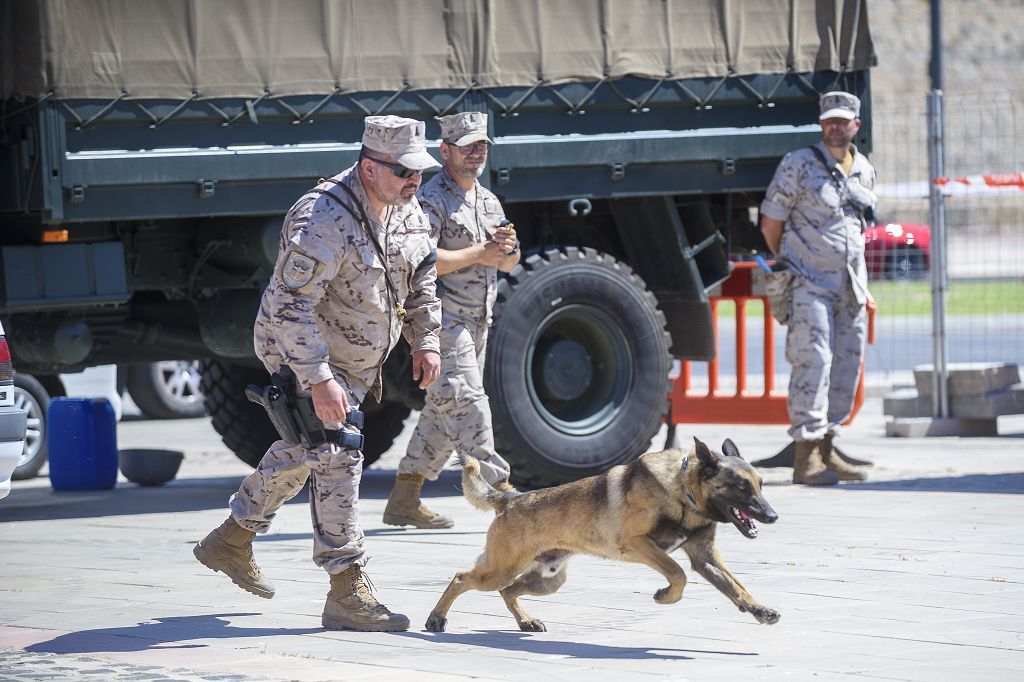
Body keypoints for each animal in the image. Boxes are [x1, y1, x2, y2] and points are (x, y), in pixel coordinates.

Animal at [428, 438, 778, 630]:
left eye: (761, 484)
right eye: (741, 486)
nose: (773, 516)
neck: (682, 491)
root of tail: (511, 499)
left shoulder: (705, 557)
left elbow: (736, 587)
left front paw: (759, 609)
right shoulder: (639, 544)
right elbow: (677, 574)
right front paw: (666, 596)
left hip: (548, 580)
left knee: (509, 592)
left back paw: (526, 621)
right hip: (500, 570)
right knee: (461, 578)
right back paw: (436, 619)